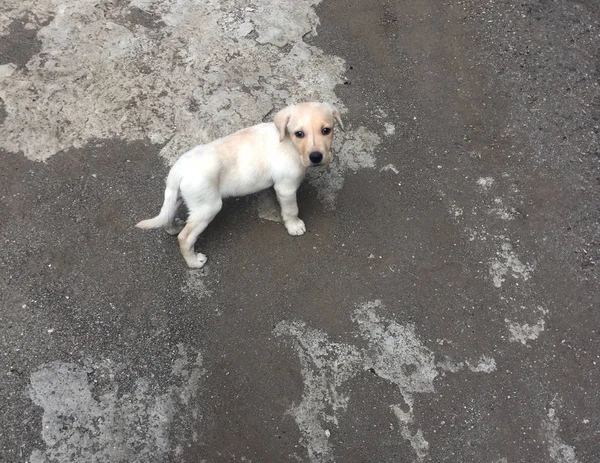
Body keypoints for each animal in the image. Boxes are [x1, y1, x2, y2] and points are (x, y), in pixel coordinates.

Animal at [135, 101, 342, 268]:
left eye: (326, 130)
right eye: (299, 134)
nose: (316, 157)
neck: (290, 143)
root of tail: (179, 169)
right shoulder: (286, 188)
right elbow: (292, 210)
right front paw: (294, 226)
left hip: (178, 196)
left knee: (168, 215)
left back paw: (173, 228)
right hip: (207, 206)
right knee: (185, 238)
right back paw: (194, 262)